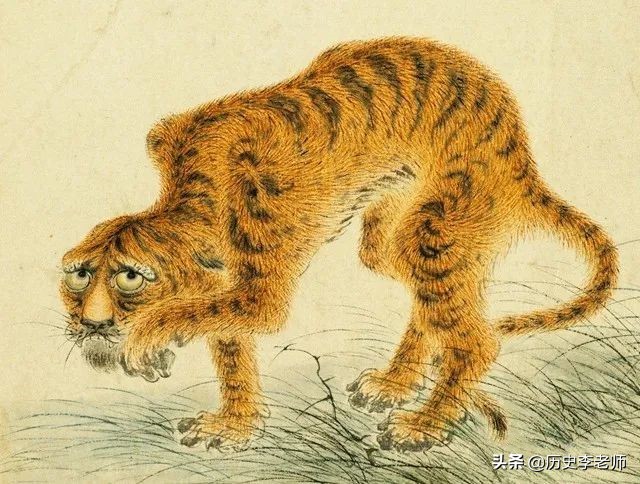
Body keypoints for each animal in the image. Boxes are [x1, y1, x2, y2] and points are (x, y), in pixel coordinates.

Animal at [60, 36, 618, 452]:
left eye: (130, 277)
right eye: (80, 276)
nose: (93, 324)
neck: (190, 198)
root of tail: (523, 157)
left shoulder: (252, 256)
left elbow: (227, 313)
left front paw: (147, 340)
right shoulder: (220, 276)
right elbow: (226, 338)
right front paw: (235, 423)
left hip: (440, 222)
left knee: (475, 338)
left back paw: (424, 424)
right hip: (398, 230)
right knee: (422, 290)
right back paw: (397, 383)